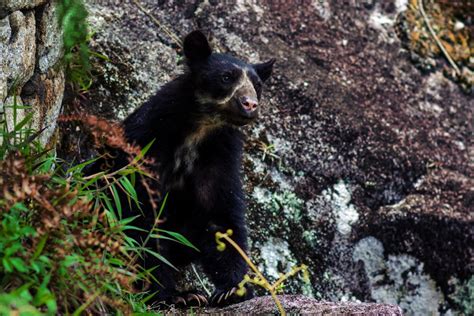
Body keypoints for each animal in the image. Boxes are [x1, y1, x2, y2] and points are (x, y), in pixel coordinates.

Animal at [100, 30, 274, 308]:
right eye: (226, 77)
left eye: (257, 85)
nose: (250, 104)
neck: (198, 129)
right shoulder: (148, 144)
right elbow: (142, 215)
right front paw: (172, 294)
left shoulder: (218, 155)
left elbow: (220, 218)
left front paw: (232, 290)